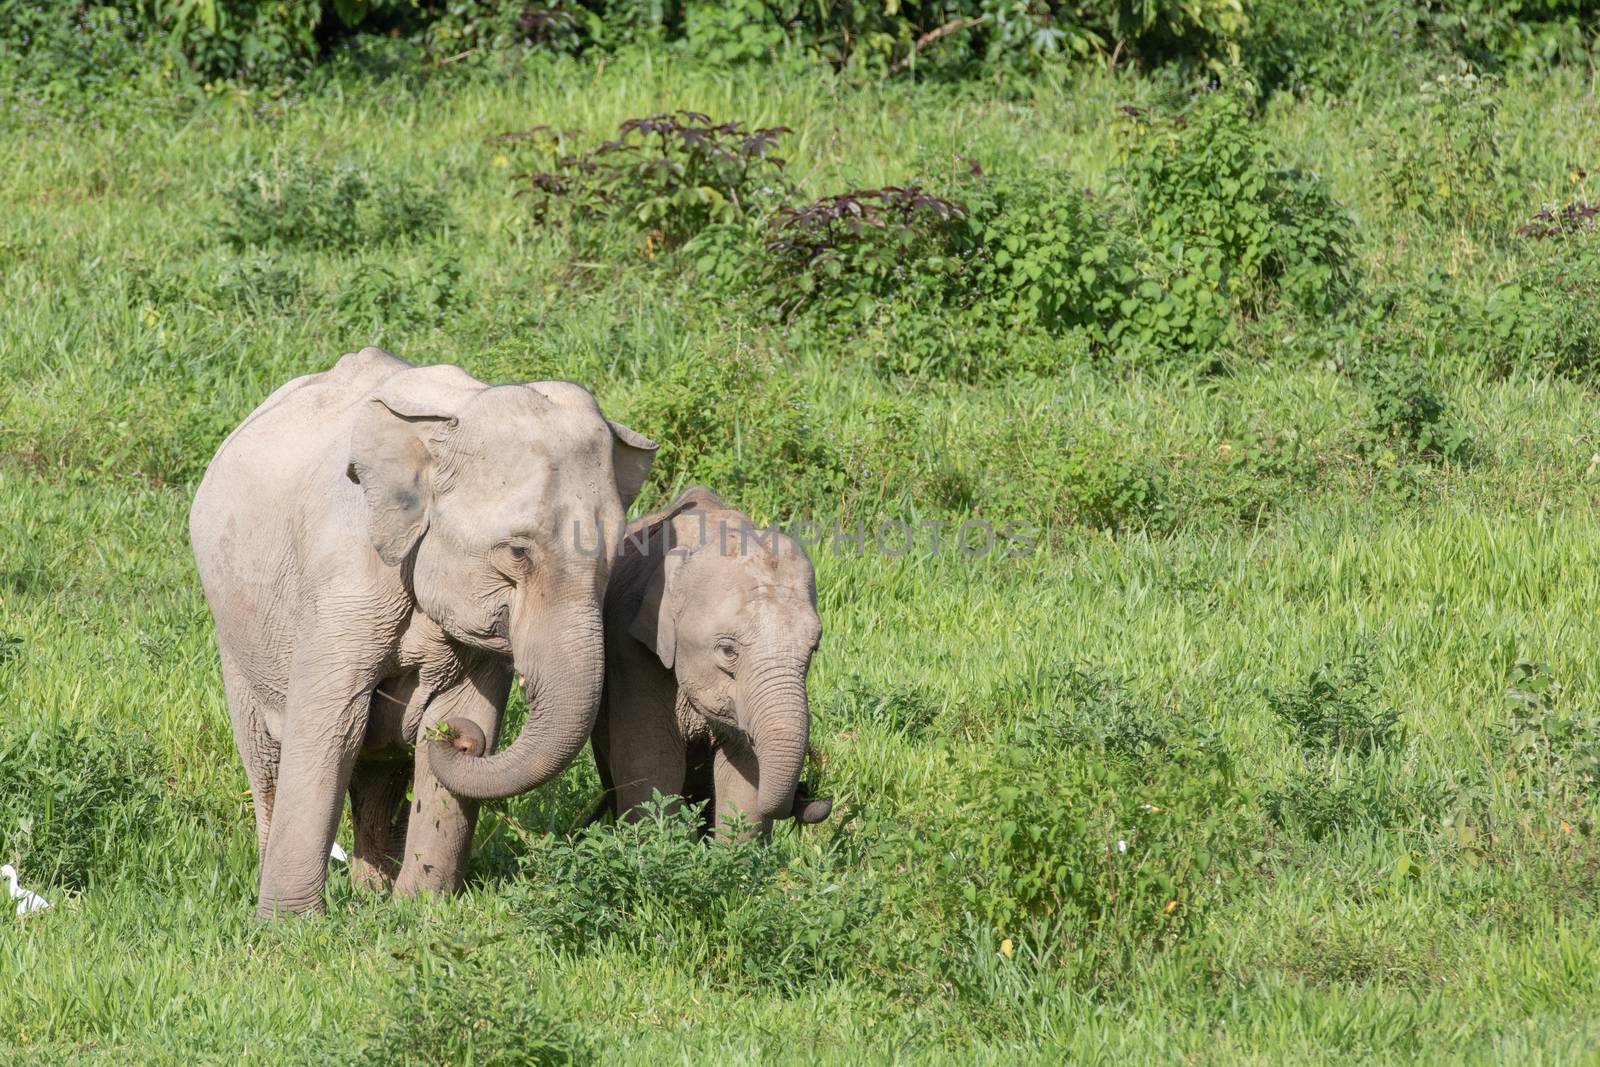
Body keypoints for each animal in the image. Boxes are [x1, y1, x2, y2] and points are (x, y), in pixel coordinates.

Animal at [190, 350, 652, 921]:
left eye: (617, 550)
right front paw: (291, 927)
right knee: (268, 754)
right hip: (236, 632)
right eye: (517, 552)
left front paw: (418, 914)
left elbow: (460, 712)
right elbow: (332, 726)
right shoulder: (342, 581)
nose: (463, 743)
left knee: (381, 767)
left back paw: (374, 893)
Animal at [595, 489, 832, 838]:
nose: (812, 793)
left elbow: (743, 774)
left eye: (813, 649)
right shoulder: (631, 654)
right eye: (728, 650)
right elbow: (652, 762)